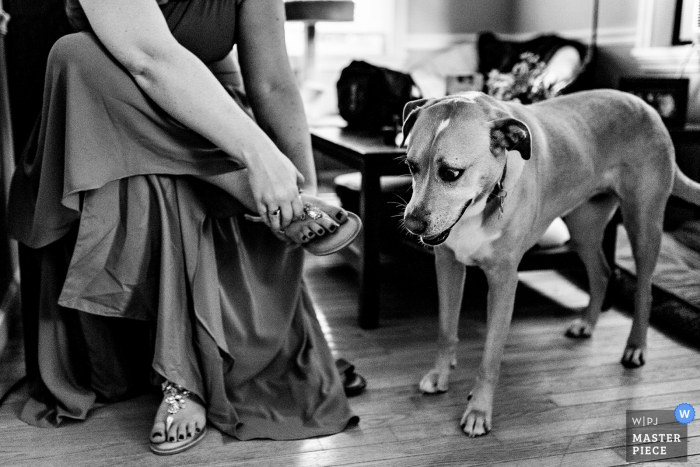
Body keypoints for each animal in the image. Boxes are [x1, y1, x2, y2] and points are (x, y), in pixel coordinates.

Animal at [402, 90, 700, 438]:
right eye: (410, 166)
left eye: (451, 173)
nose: (411, 224)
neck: (485, 198)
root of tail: (645, 106)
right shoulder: (447, 265)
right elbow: (446, 330)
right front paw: (440, 374)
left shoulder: (503, 282)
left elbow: (490, 358)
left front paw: (478, 411)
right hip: (584, 228)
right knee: (602, 273)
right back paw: (587, 323)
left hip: (643, 225)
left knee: (644, 289)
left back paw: (635, 347)